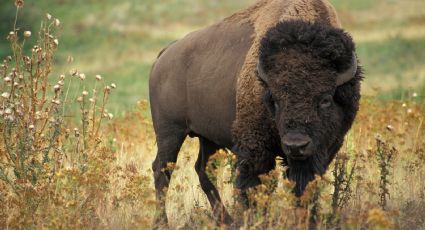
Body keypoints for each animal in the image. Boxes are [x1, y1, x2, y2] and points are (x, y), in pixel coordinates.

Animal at [148, 0, 362, 225]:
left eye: (325, 100)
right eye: (274, 100)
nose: (296, 145)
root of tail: (165, 54)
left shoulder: (323, 150)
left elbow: (303, 187)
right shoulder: (256, 149)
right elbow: (255, 187)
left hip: (208, 138)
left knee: (203, 170)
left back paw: (226, 221)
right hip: (170, 132)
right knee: (162, 170)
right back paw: (162, 222)